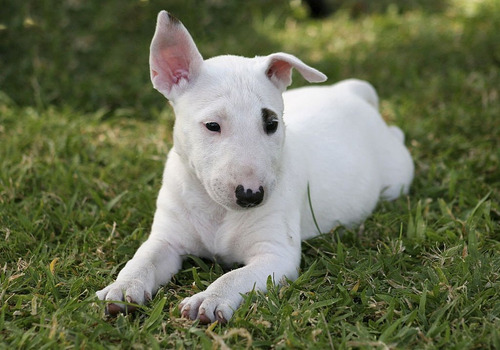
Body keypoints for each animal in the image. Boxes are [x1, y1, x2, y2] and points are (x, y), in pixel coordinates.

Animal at [96, 10, 414, 324]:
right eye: (212, 125)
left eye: (272, 124)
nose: (251, 195)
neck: (217, 209)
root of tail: (350, 92)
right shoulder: (167, 239)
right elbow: (143, 260)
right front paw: (122, 287)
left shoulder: (275, 255)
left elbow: (236, 276)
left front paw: (209, 299)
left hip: (396, 175)